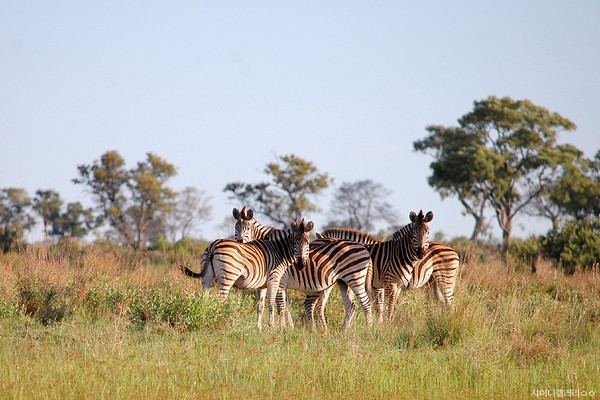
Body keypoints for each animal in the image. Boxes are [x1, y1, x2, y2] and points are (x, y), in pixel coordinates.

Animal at [182, 219, 314, 328]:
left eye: (307, 243)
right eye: (295, 242)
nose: (301, 265)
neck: (280, 252)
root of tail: (214, 245)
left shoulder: (262, 285)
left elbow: (260, 306)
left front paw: (259, 329)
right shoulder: (274, 279)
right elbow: (271, 303)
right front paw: (272, 327)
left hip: (207, 279)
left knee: (205, 300)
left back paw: (205, 317)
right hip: (227, 278)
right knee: (220, 301)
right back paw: (218, 320)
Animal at [233, 206, 370, 332]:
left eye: (248, 228)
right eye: (236, 228)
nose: (239, 242)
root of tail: (363, 247)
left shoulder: (280, 281)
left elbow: (281, 306)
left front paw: (281, 328)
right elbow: (275, 305)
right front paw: (287, 327)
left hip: (355, 278)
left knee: (365, 303)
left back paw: (369, 330)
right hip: (343, 281)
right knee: (351, 305)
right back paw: (343, 331)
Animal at [324, 212, 460, 322]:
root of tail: (453, 251)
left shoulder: (379, 284)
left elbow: (380, 306)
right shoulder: (377, 285)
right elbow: (379, 307)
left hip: (444, 277)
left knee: (450, 302)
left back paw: (449, 322)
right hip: (433, 283)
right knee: (442, 302)